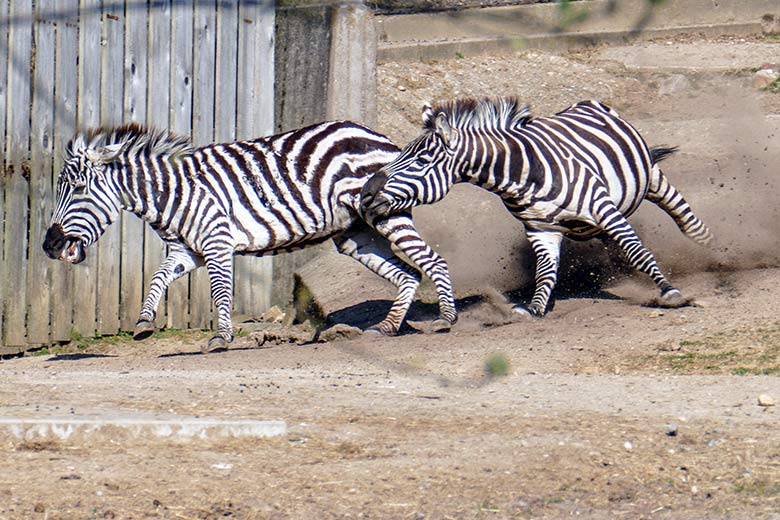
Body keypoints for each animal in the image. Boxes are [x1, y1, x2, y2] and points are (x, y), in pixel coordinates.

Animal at [42, 121, 458, 354]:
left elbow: (221, 292)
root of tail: (374, 134)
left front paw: (222, 338)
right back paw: (387, 328)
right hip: (354, 235)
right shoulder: (186, 251)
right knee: (408, 274)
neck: (172, 192)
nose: (49, 245)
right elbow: (157, 278)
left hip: (386, 215)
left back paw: (446, 321)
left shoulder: (217, 243)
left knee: (433, 261)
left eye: (77, 189)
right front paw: (144, 324)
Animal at [360, 96, 712, 316]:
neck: (521, 175)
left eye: (420, 161)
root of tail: (586, 103)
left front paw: (669, 291)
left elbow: (638, 252)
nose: (365, 194)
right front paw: (533, 309)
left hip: (650, 178)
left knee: (682, 216)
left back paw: (712, 249)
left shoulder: (603, 208)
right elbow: (545, 272)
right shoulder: (540, 229)